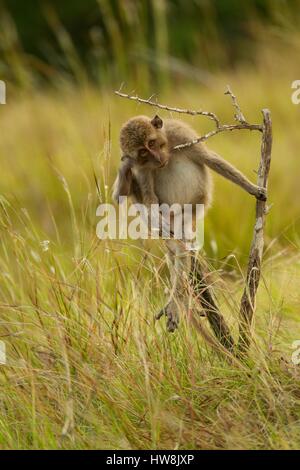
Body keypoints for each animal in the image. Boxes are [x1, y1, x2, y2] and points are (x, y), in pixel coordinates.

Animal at [112, 114, 268, 330]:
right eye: (143, 152)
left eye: (151, 143)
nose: (157, 158)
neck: (167, 147)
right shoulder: (141, 167)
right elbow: (147, 196)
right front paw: (124, 167)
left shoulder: (181, 134)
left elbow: (211, 159)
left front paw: (252, 188)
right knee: (175, 243)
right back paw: (178, 300)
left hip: (191, 211)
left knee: (181, 245)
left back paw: (178, 299)